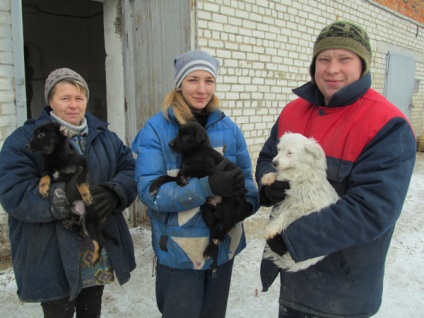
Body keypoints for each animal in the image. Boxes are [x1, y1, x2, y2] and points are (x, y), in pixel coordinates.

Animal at [148, 121, 250, 270]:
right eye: (178, 133)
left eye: (185, 136)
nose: (170, 144)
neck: (196, 150)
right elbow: (168, 177)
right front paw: (155, 185)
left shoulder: (208, 166)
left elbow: (184, 170)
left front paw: (180, 180)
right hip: (207, 211)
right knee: (214, 229)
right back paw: (208, 251)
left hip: (229, 202)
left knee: (228, 224)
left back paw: (219, 238)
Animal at [260, 132, 340, 270]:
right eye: (279, 149)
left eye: (290, 153)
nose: (274, 163)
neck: (299, 174)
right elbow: (279, 176)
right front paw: (269, 177)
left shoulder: (305, 206)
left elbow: (285, 215)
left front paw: (271, 228)